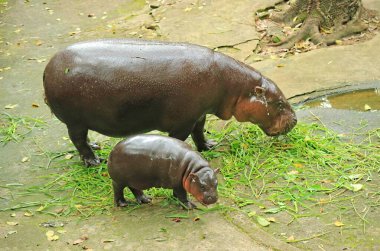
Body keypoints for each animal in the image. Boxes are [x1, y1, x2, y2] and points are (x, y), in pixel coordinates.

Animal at [42, 38, 296, 167]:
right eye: (279, 103)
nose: (295, 120)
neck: (236, 88)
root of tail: (48, 68)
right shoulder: (183, 121)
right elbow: (180, 139)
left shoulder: (199, 114)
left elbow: (200, 132)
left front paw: (210, 146)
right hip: (75, 121)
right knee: (78, 140)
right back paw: (94, 161)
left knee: (83, 140)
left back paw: (96, 148)